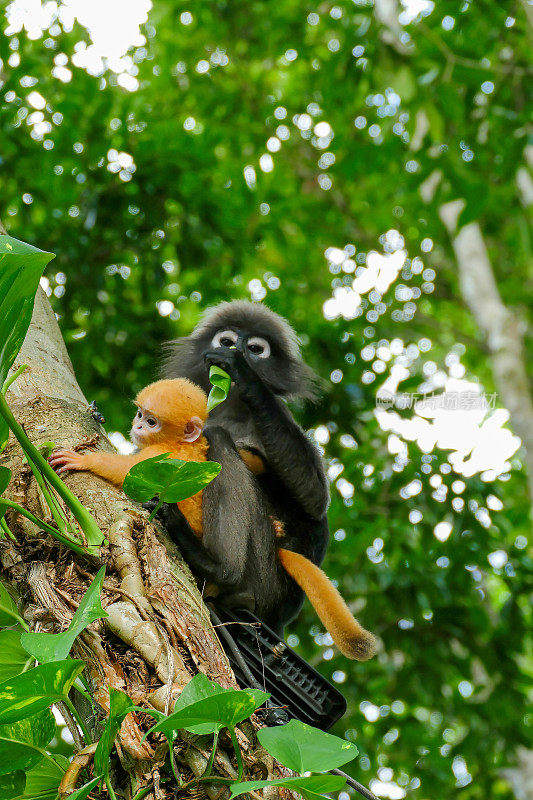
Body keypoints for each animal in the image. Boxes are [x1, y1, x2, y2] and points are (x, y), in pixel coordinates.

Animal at [49, 378, 208, 536]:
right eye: (140, 415)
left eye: (151, 422)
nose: (138, 426)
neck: (177, 442)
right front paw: (96, 413)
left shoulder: (161, 453)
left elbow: (130, 473)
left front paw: (83, 460)